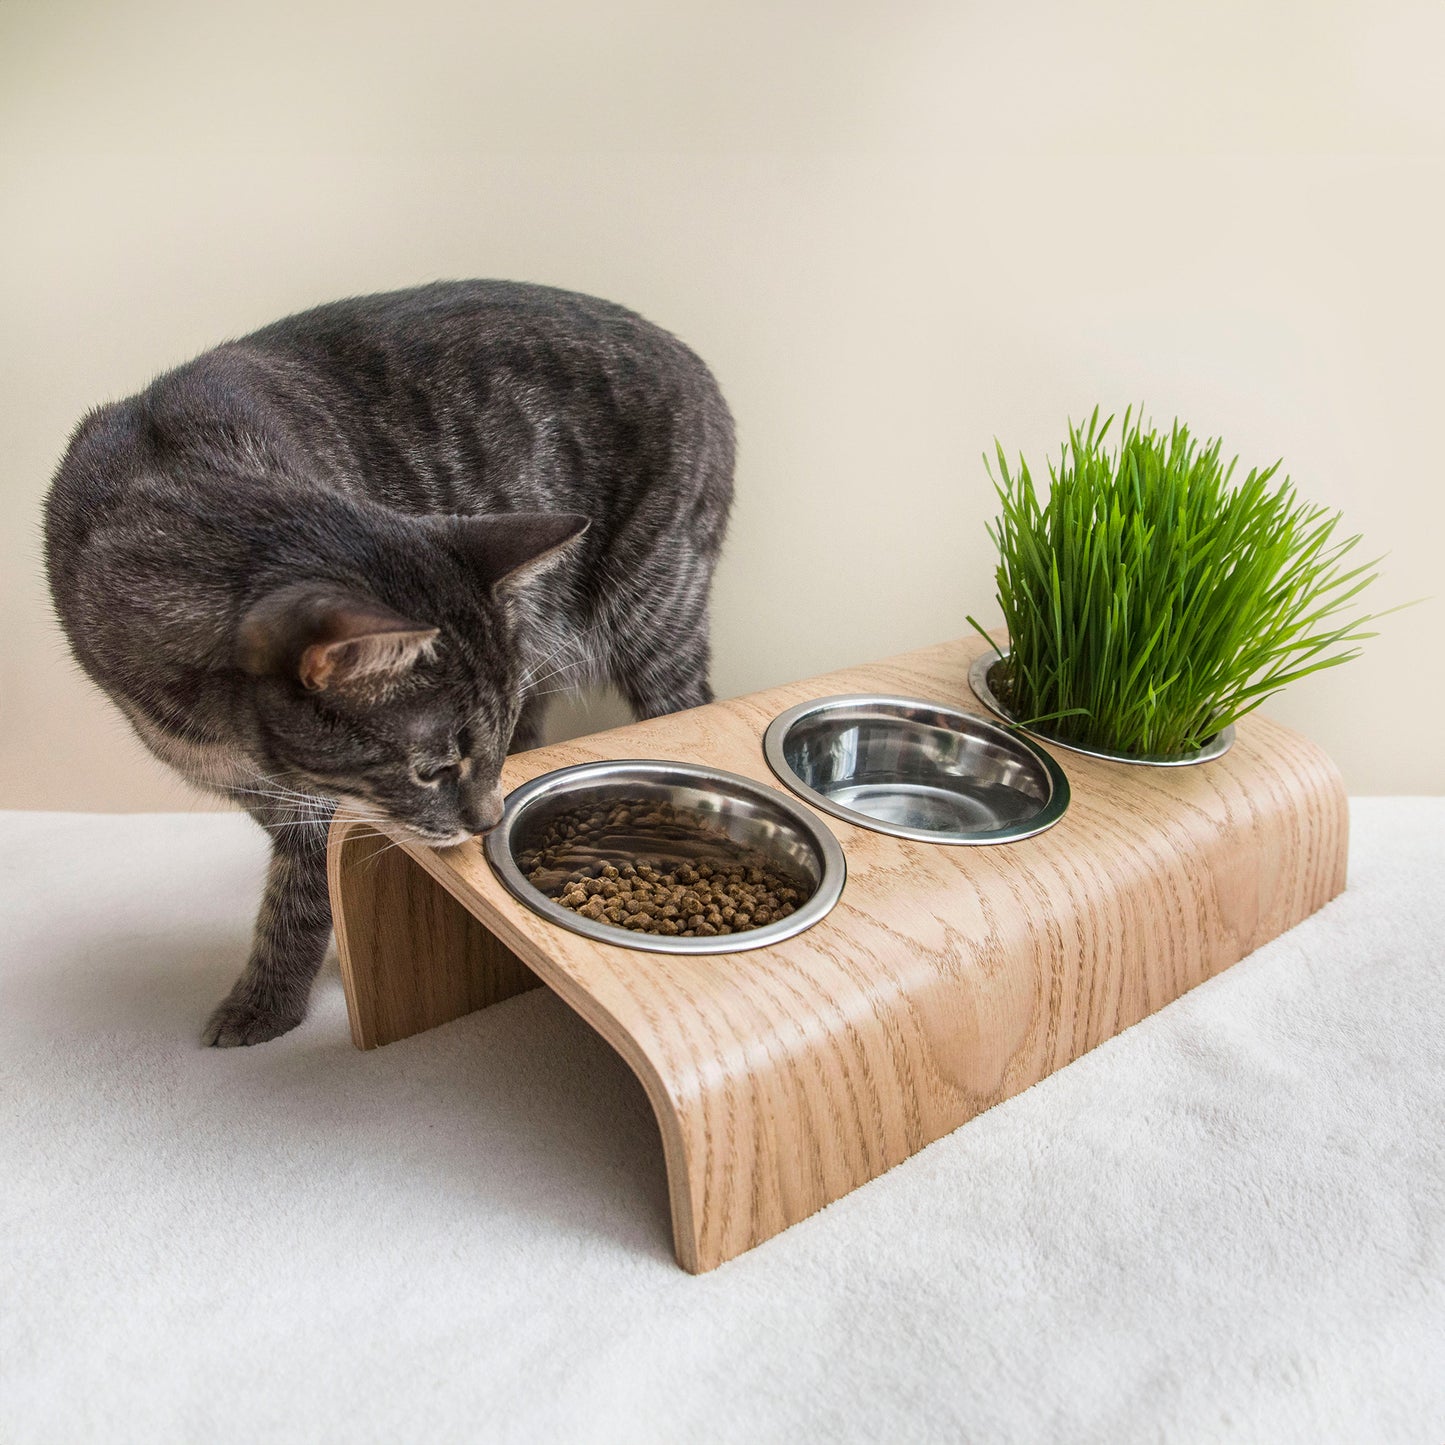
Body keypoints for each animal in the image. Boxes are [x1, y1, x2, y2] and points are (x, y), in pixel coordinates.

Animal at [45, 281, 734, 1046]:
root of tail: (689, 358)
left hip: (654, 611)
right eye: (432, 770)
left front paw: (267, 1001)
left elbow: (301, 893)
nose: (487, 822)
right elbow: (300, 866)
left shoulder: (313, 804)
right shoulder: (265, 791)